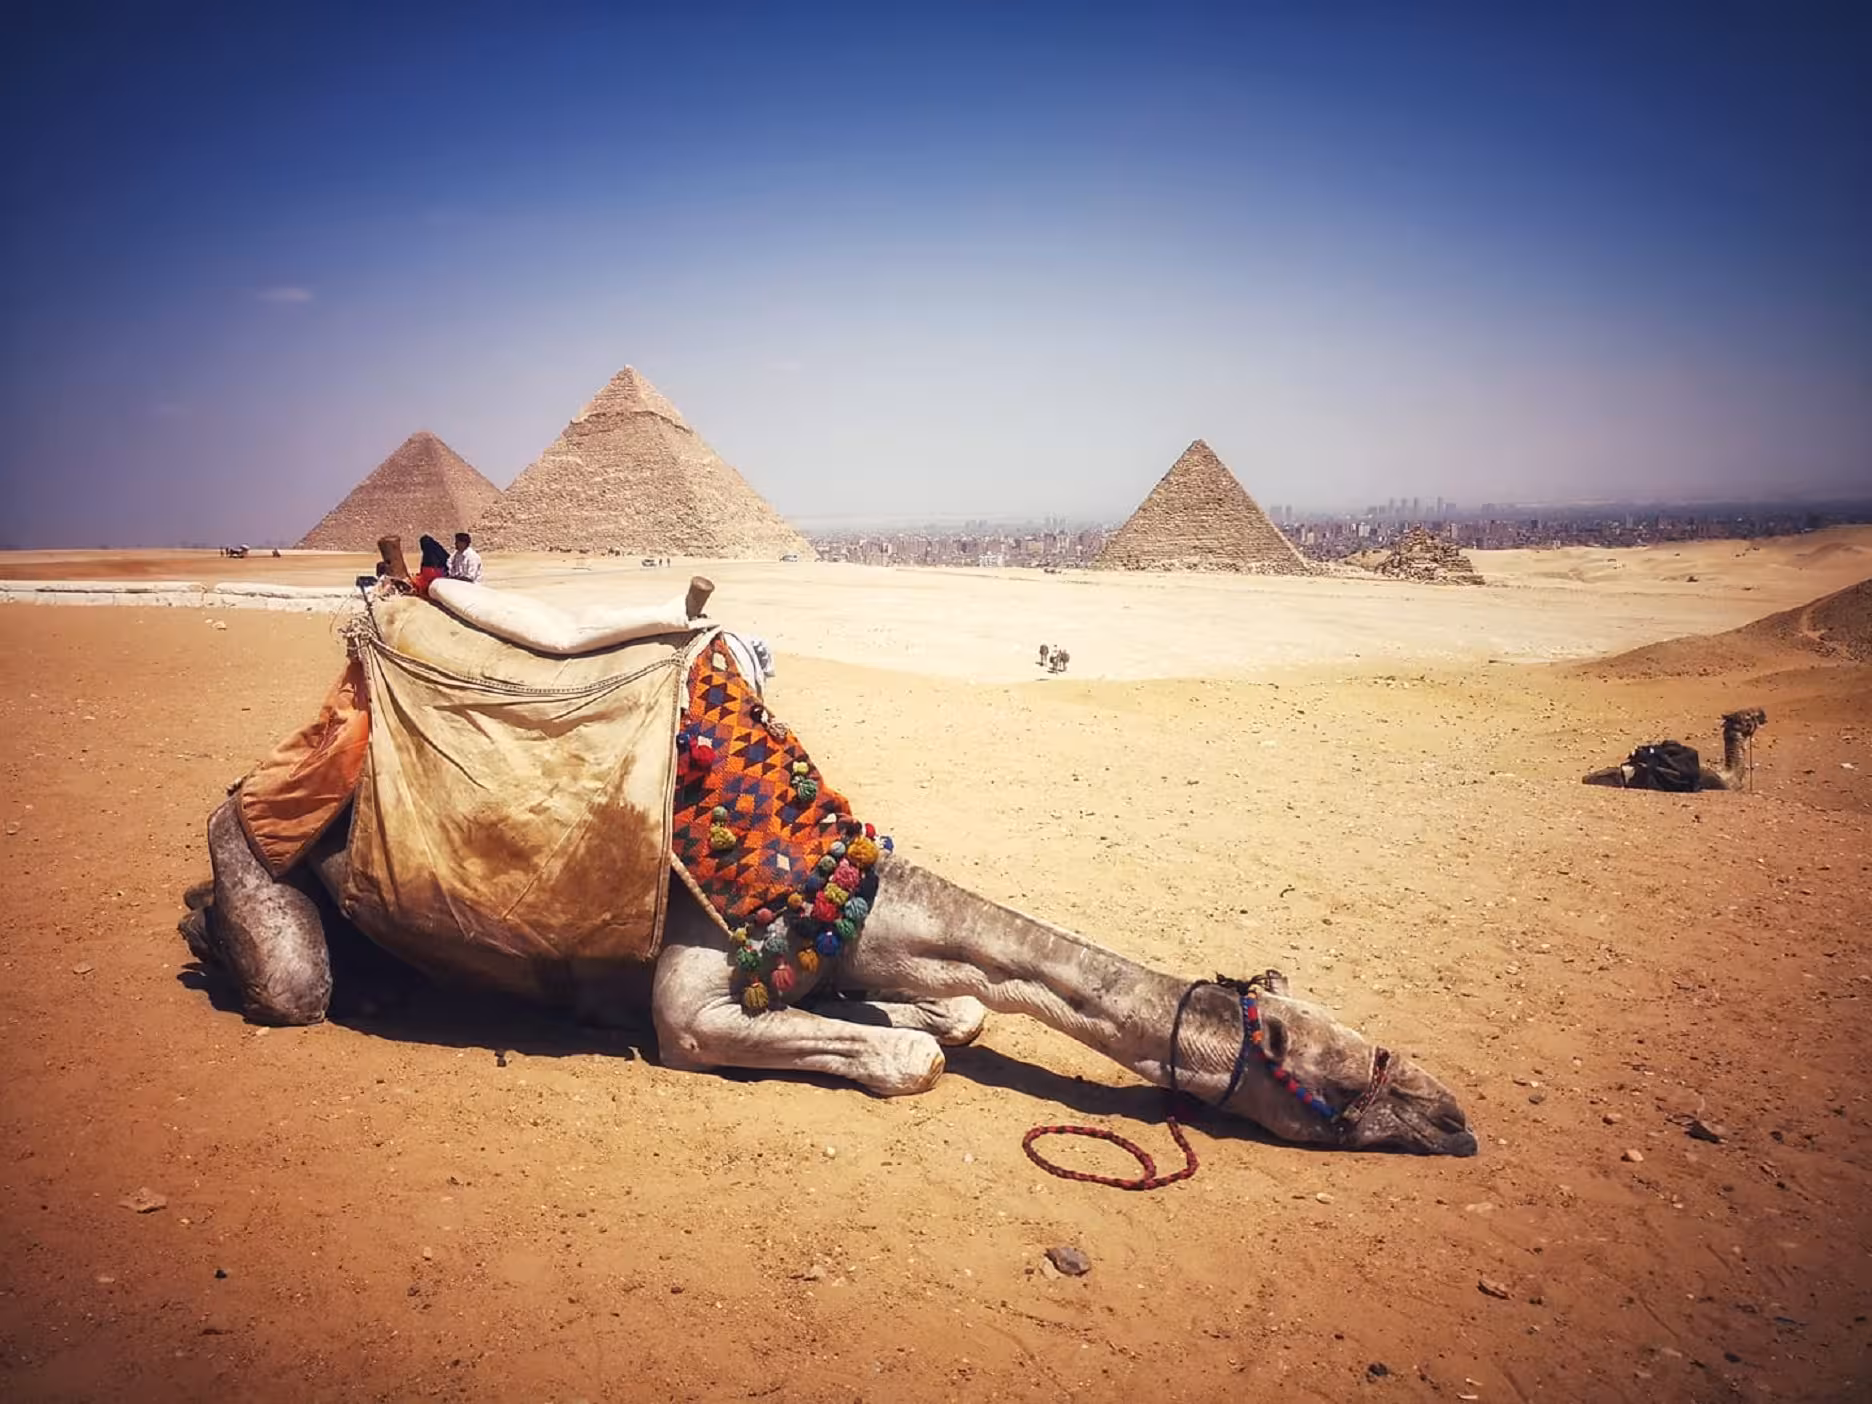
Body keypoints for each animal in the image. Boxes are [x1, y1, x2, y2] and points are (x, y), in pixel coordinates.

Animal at [179, 585, 1477, 1160]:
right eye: (1351, 1073)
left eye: (1373, 1045)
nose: (1457, 1119)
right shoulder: (692, 1003)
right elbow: (908, 1058)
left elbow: (949, 1017)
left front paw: (923, 1010)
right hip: (265, 844)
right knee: (288, 962)